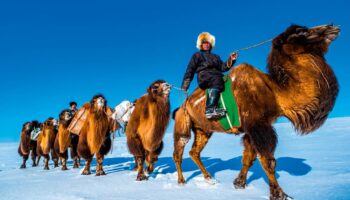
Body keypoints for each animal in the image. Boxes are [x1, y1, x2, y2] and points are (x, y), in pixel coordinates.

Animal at [172, 24, 340, 199]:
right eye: (300, 32)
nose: (332, 27)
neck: (275, 93)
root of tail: (181, 107)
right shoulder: (258, 126)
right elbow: (268, 161)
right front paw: (280, 194)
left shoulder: (254, 128)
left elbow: (248, 158)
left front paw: (239, 184)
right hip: (183, 125)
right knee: (179, 151)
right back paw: (182, 181)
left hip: (203, 130)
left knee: (194, 152)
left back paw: (209, 179)